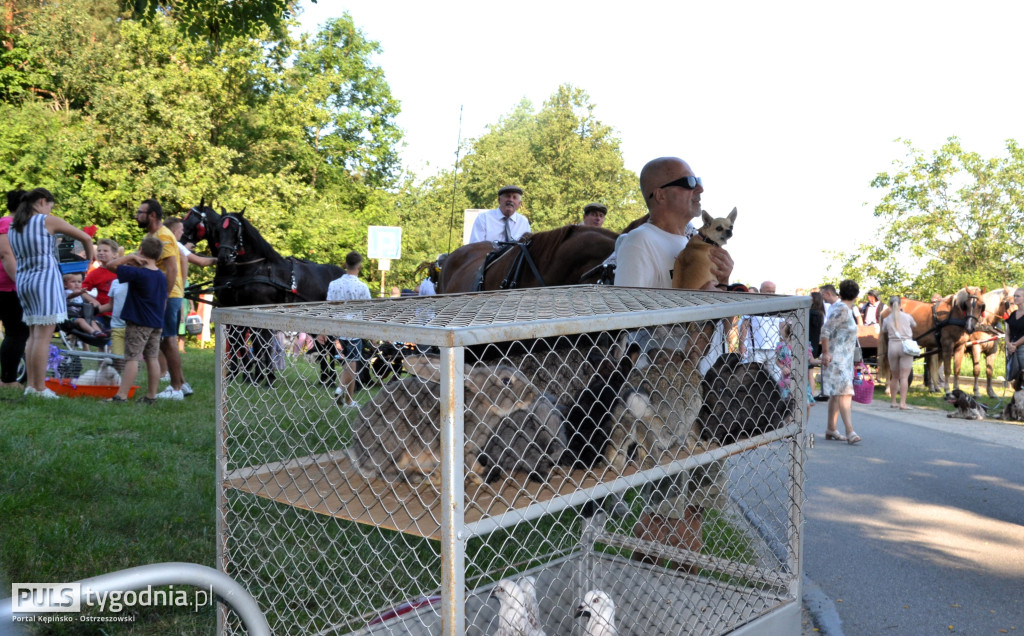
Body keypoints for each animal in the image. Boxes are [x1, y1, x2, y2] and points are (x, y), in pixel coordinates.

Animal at [216, 210, 344, 385]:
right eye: (218, 229)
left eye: (235, 230)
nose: (223, 257)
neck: (259, 270)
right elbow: (247, 343)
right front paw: (252, 375)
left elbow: (262, 344)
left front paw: (267, 377)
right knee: (324, 346)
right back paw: (326, 377)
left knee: (330, 345)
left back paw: (330, 378)